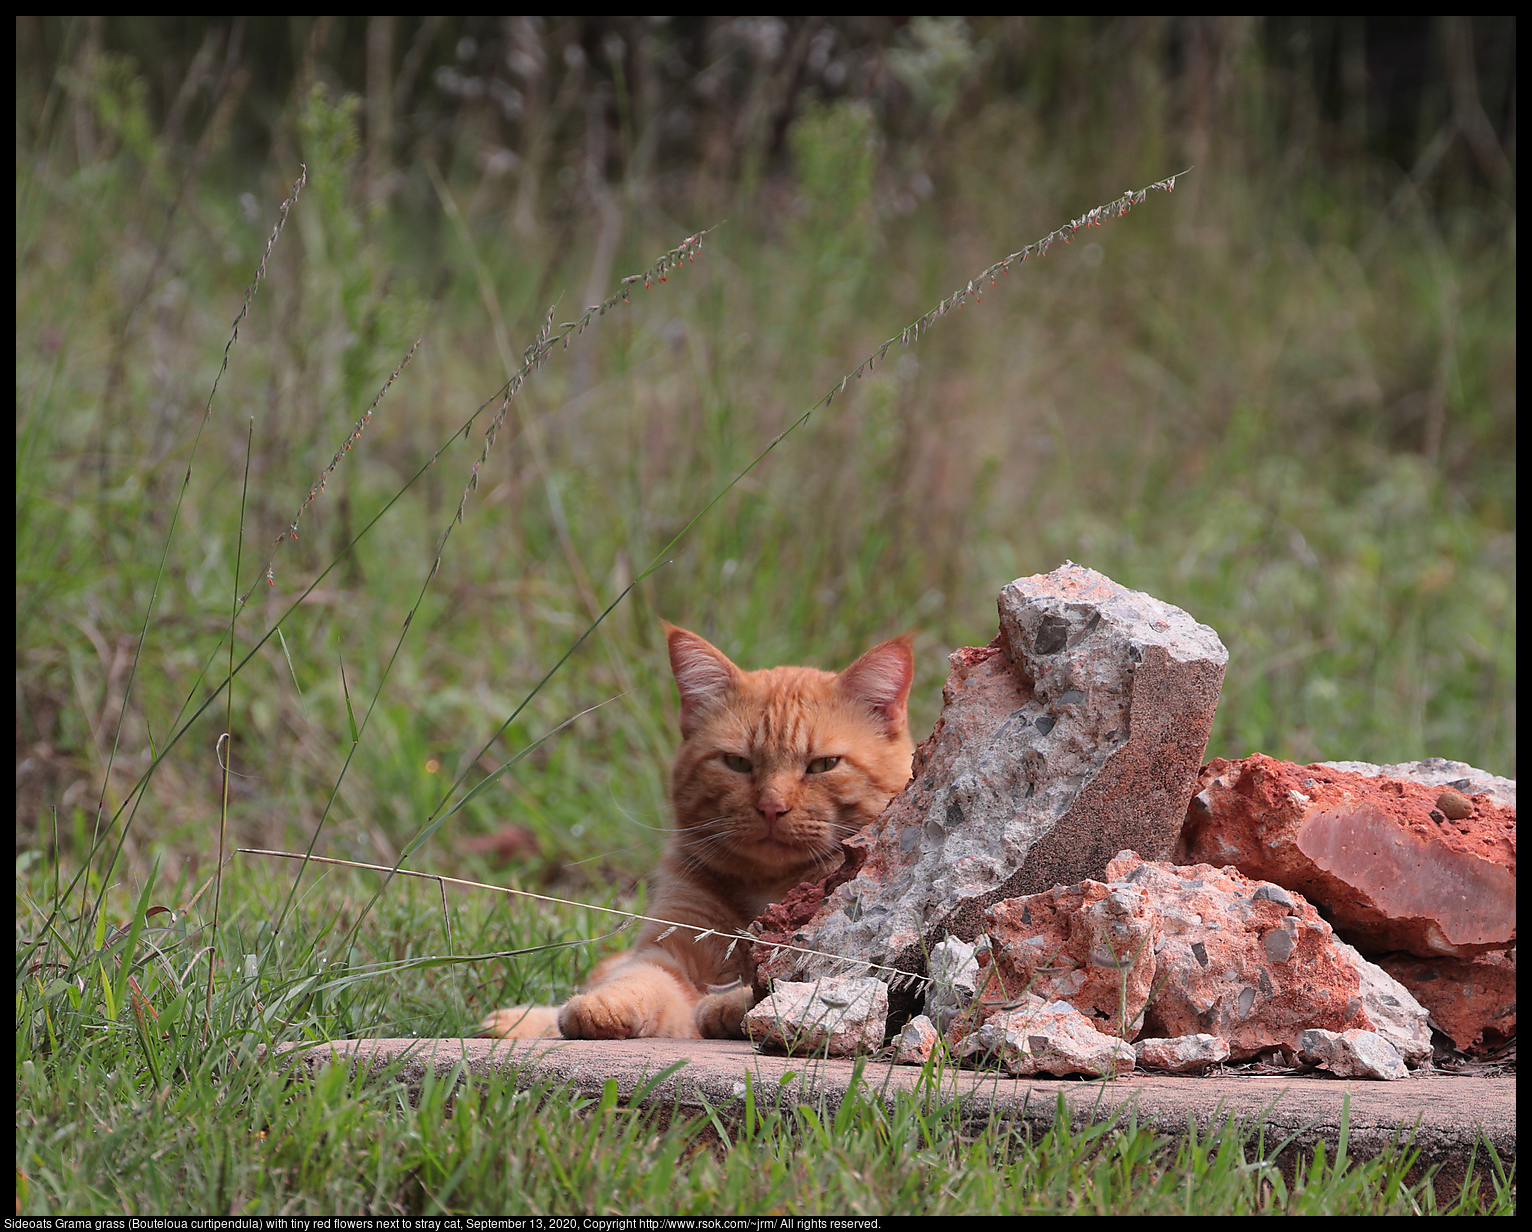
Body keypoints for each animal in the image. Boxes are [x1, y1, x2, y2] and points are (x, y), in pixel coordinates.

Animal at [481, 625, 906, 1041]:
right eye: (737, 763)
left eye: (823, 765)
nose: (772, 807)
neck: (766, 890)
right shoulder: (671, 955)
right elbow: (635, 980)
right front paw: (599, 1009)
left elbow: (777, 989)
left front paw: (733, 1006)